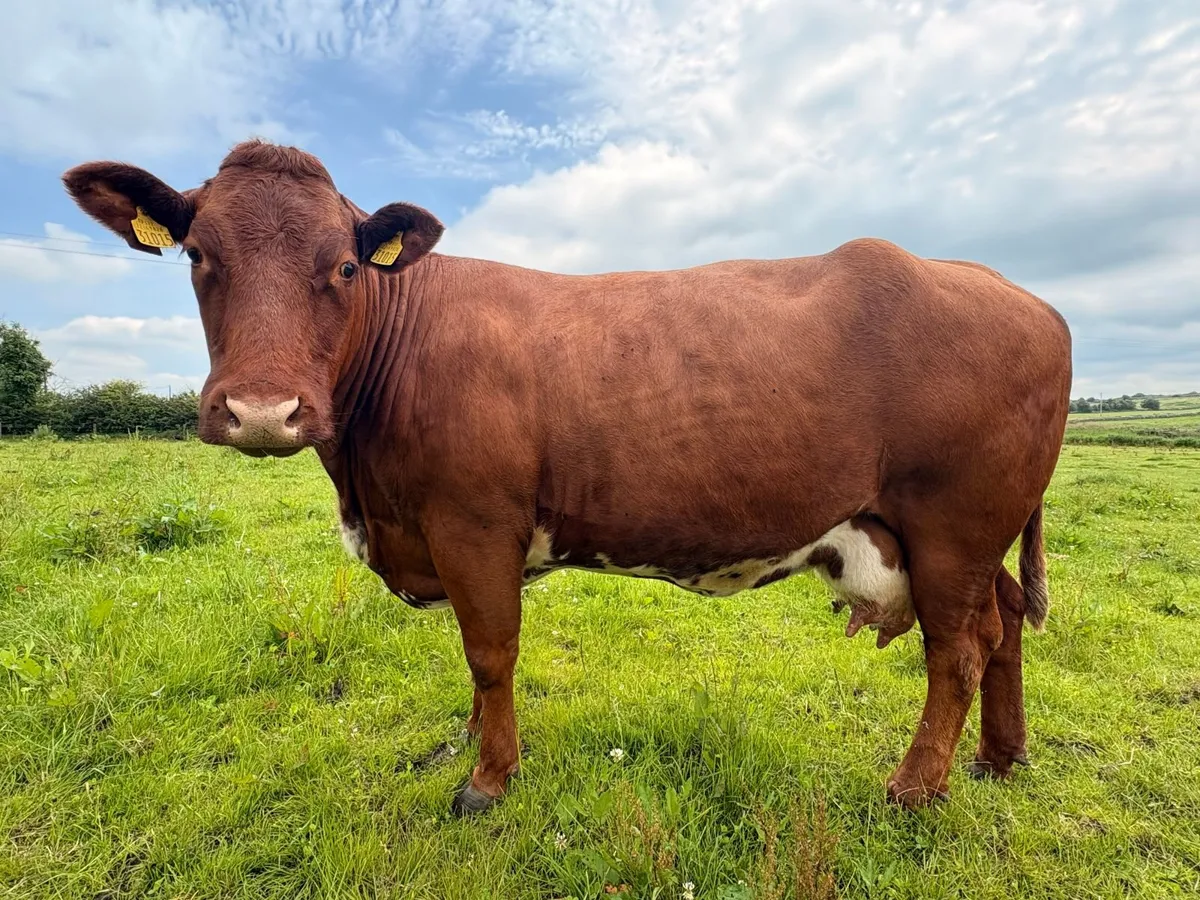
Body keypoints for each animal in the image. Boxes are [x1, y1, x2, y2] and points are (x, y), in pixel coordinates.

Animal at [62, 140, 1072, 815]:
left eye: (345, 264)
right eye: (199, 256)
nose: (265, 411)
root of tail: (1020, 293)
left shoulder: (474, 524)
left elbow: (489, 654)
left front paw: (487, 780)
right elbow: (476, 668)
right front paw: (476, 752)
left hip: (952, 525)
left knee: (958, 651)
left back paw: (915, 786)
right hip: (969, 536)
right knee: (1003, 624)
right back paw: (999, 760)